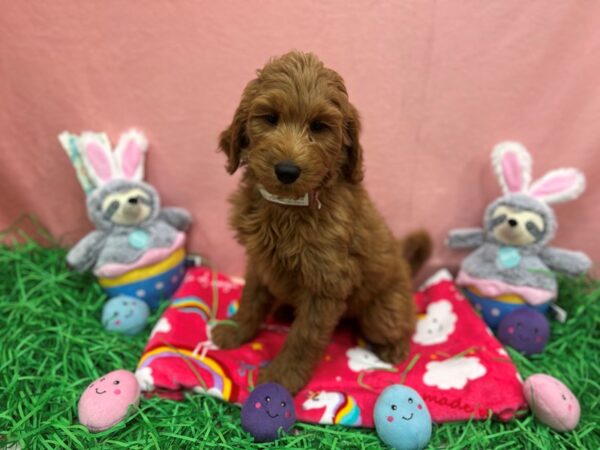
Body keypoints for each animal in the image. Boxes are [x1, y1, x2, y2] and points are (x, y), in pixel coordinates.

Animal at [211, 50, 432, 394]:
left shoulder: (326, 283)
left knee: (401, 325)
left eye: (318, 126)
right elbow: (251, 299)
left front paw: (280, 379)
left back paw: (393, 349)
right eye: (270, 118)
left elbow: (304, 336)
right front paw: (237, 332)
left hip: (383, 311)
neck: (287, 206)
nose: (287, 171)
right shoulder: (259, 261)